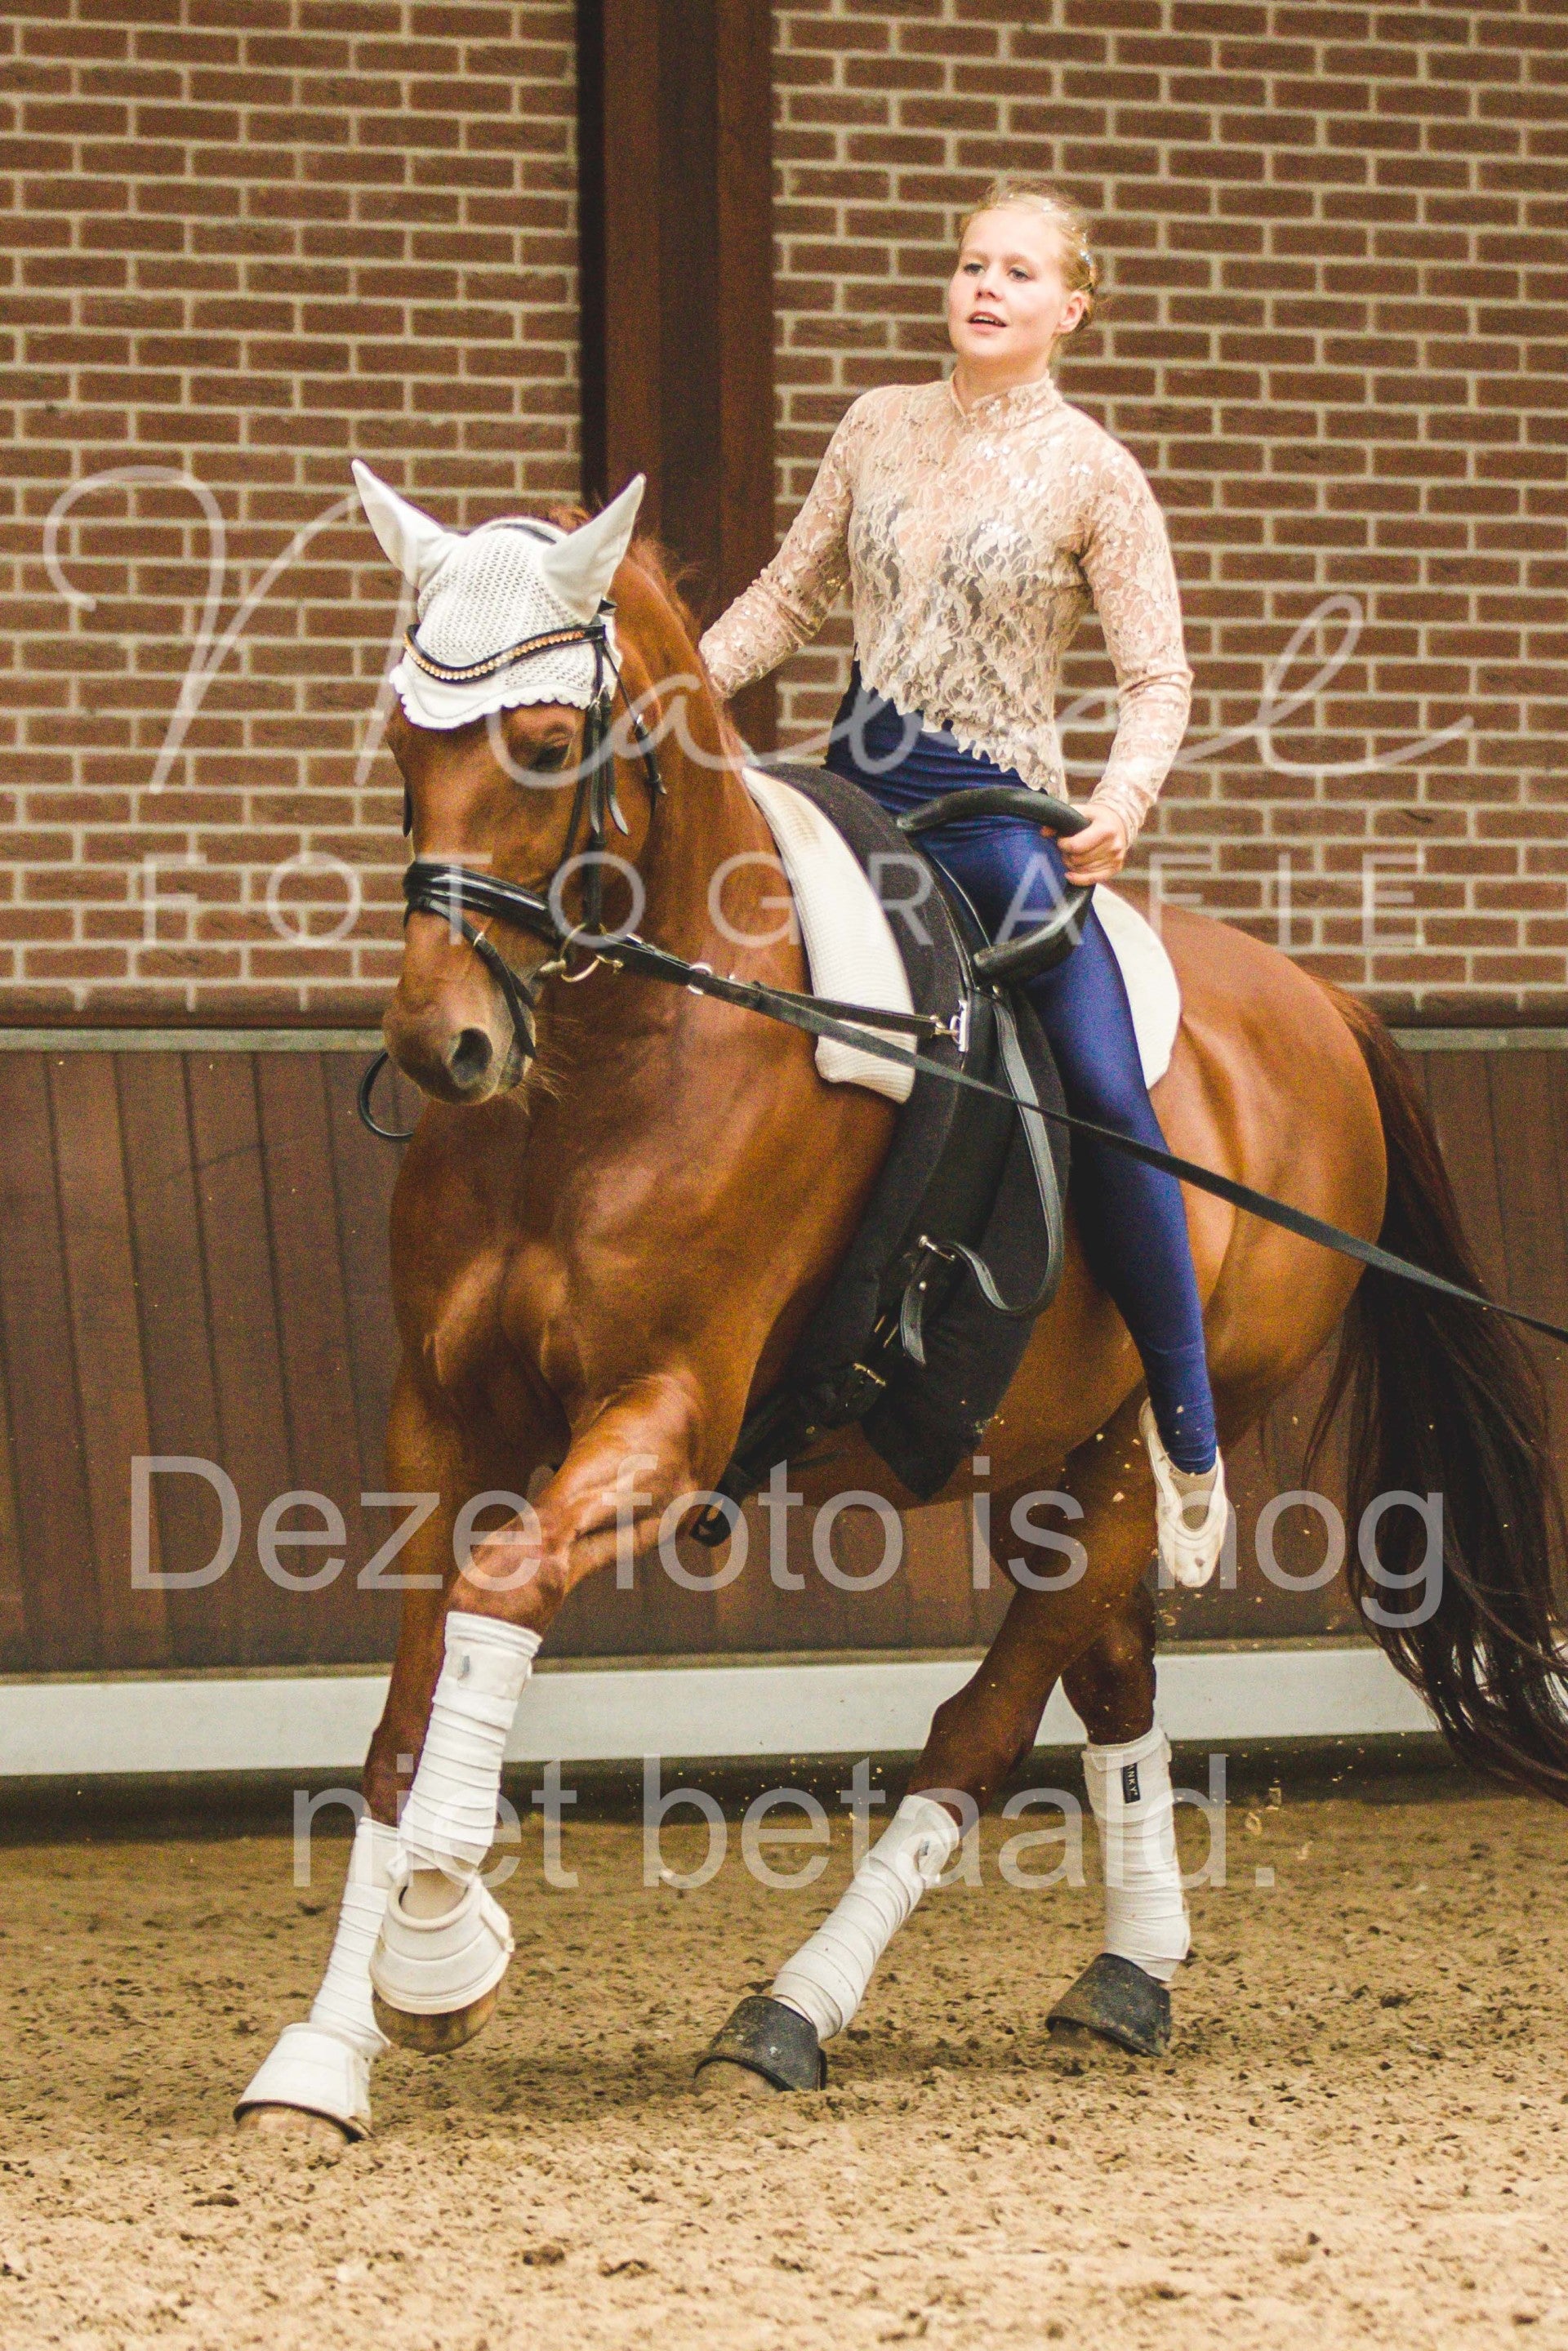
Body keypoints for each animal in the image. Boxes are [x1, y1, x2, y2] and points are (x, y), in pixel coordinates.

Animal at [238, 485, 1568, 2139]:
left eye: (545, 744)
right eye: (400, 744)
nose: (445, 1042)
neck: (616, 1061)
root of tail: (1319, 1003)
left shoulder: (668, 1418)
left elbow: (503, 1589)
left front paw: (439, 1954)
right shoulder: (443, 1416)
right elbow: (407, 1717)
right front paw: (323, 2051)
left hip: (1140, 1448)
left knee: (984, 1724)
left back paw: (791, 2009)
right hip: (1036, 1450)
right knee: (1111, 1673)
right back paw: (1130, 1972)